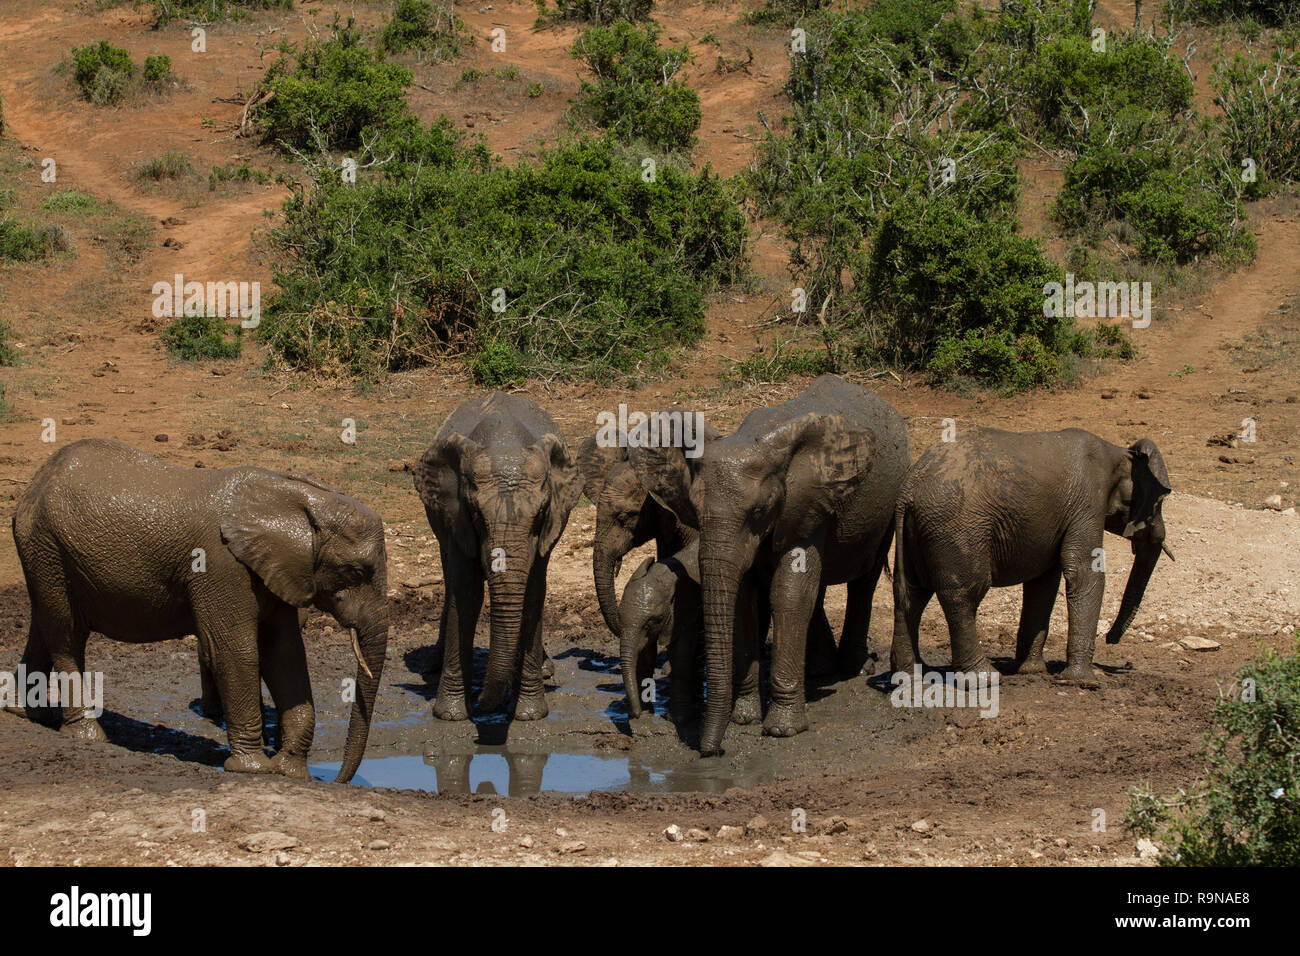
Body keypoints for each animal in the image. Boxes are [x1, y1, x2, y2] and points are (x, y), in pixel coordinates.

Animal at [11, 437, 390, 780]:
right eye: (355, 572)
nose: (338, 780)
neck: (291, 496)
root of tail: (37, 480)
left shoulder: (275, 571)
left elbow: (285, 655)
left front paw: (291, 772)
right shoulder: (222, 566)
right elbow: (237, 652)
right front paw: (254, 769)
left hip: (44, 552)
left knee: (43, 627)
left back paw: (23, 713)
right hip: (48, 546)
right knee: (67, 636)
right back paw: (87, 735)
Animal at [626, 374, 904, 754]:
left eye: (760, 510)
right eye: (696, 510)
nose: (711, 750)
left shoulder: (808, 502)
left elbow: (789, 593)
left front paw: (782, 730)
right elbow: (745, 598)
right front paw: (744, 719)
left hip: (888, 506)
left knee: (865, 578)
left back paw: (852, 667)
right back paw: (819, 670)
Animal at [889, 429, 1175, 686]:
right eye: (1159, 503)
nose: (1110, 639)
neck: (1119, 452)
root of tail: (908, 489)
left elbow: (1043, 583)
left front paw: (1033, 671)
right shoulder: (1088, 502)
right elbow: (1083, 572)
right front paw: (1082, 681)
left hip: (917, 531)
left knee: (911, 595)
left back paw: (910, 679)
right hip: (957, 529)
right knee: (963, 596)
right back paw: (984, 680)